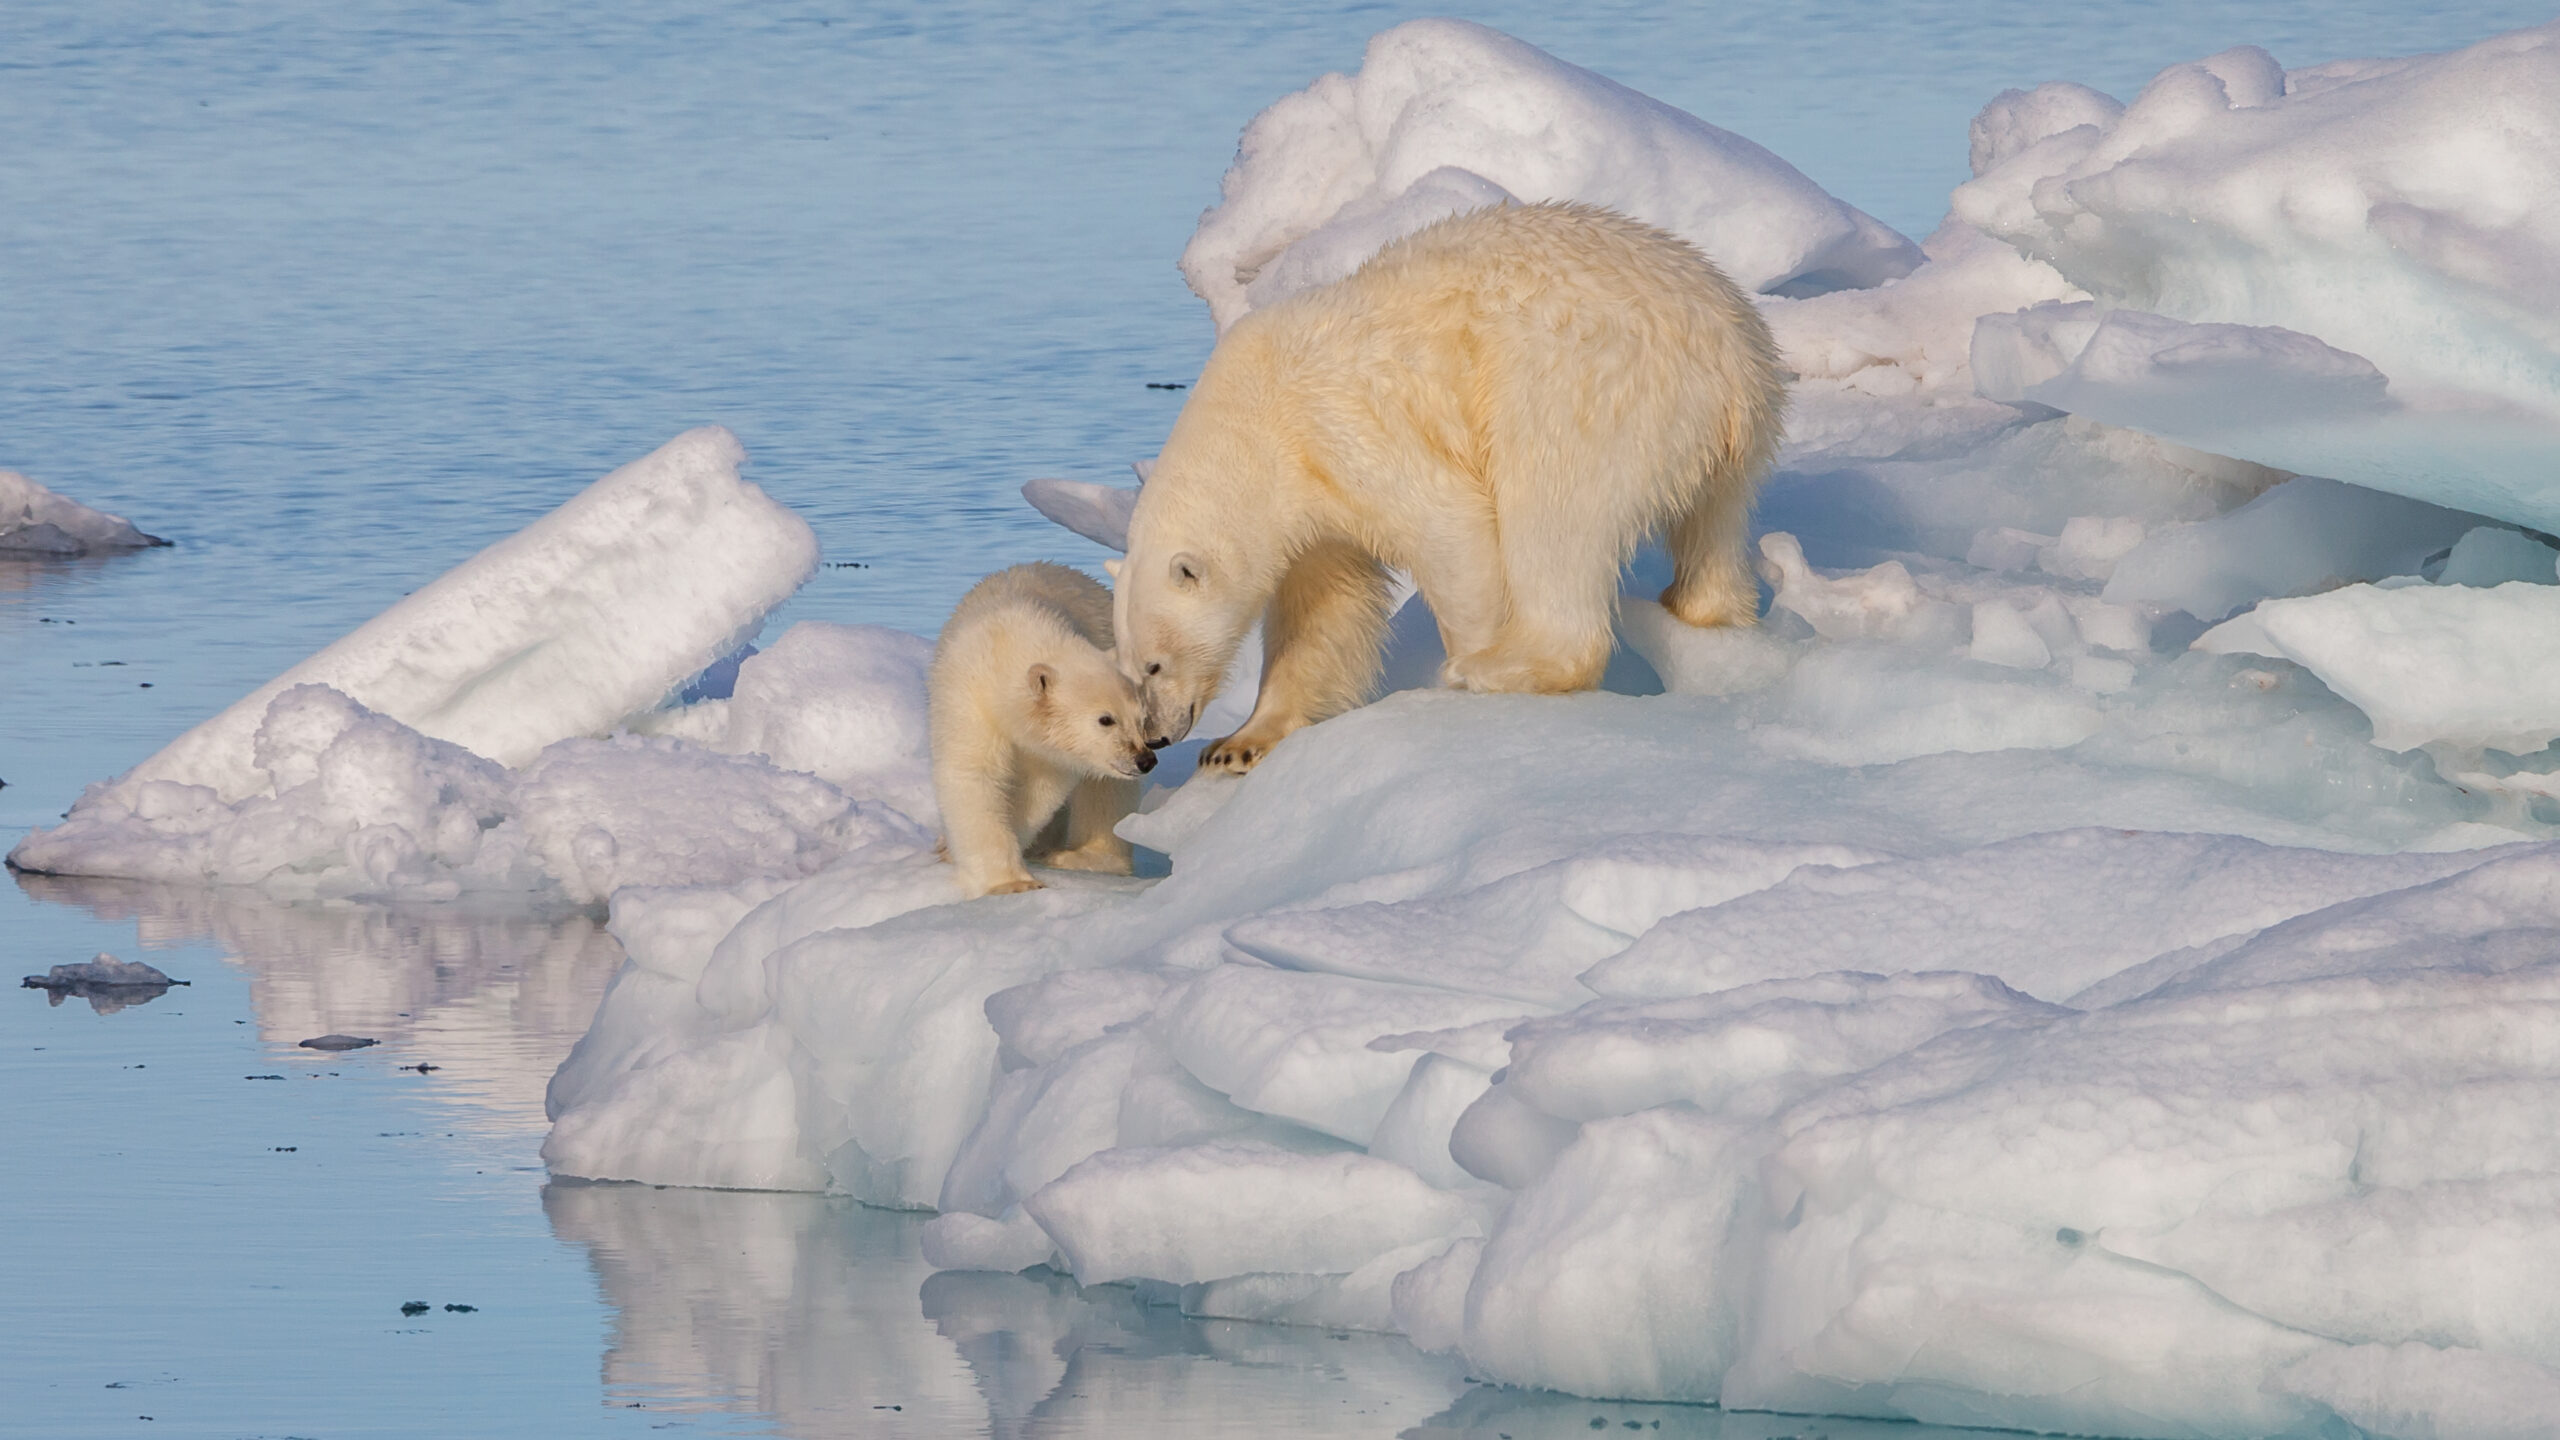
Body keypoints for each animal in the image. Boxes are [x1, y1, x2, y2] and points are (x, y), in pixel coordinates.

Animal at [1111, 199, 1792, 768]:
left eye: (1154, 664)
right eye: (1125, 666)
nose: (1159, 737)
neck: (1255, 424)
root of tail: (1732, 358)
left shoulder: (1344, 429)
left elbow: (1450, 528)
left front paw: (1468, 659)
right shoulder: (1311, 502)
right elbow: (1322, 611)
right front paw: (1239, 743)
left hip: (1583, 389)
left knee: (1553, 516)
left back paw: (1499, 668)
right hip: (1733, 437)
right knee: (1715, 525)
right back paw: (1703, 608)